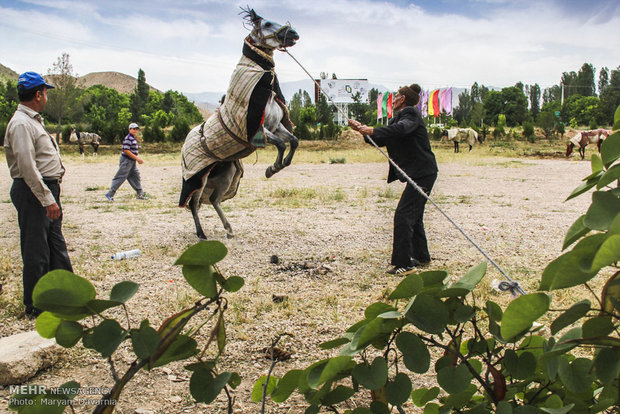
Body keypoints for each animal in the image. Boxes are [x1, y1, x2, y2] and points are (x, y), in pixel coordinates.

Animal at [178, 7, 300, 239]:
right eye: (267, 23)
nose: (294, 34)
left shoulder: (277, 126)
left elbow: (294, 141)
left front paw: (278, 166)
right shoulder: (259, 132)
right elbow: (281, 144)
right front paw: (272, 168)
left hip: (227, 175)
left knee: (214, 199)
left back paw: (229, 229)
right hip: (198, 178)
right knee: (194, 204)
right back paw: (201, 233)